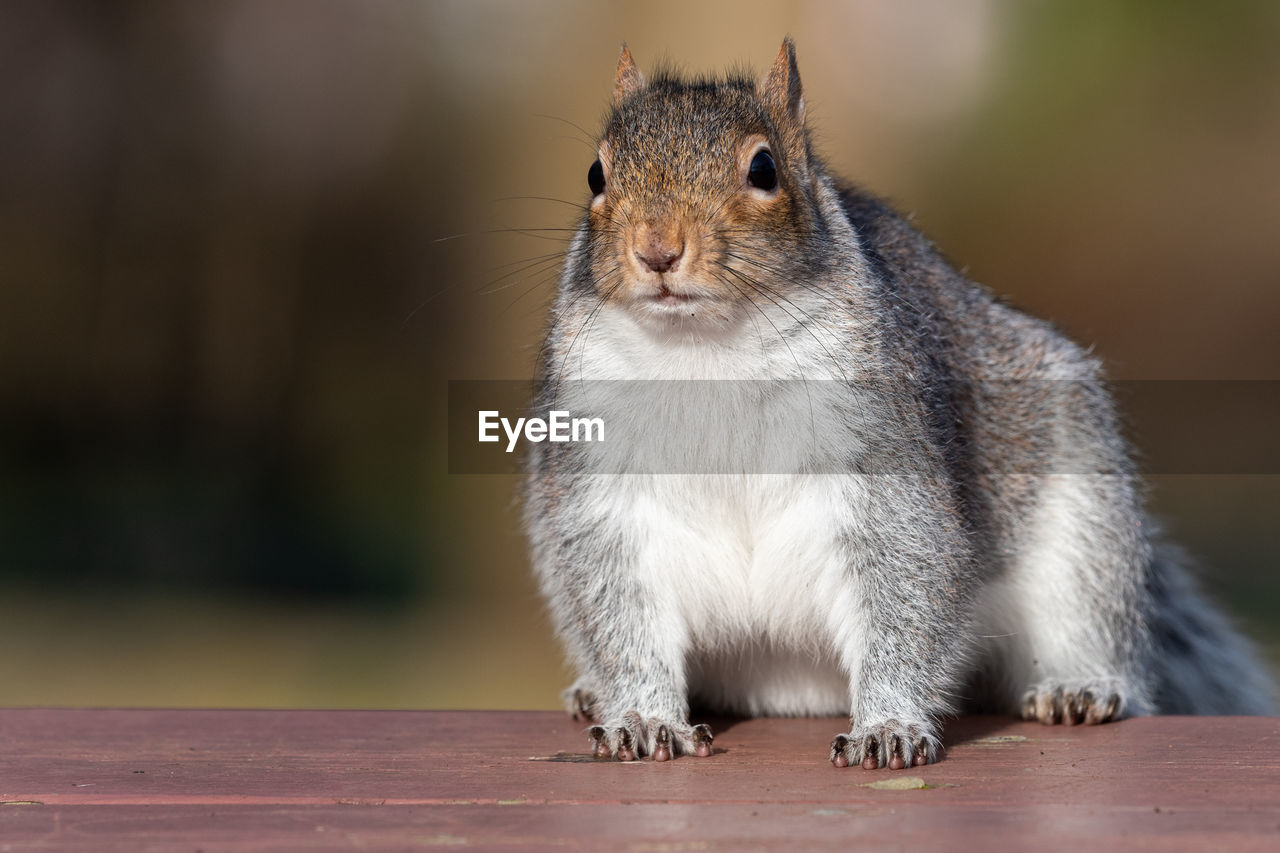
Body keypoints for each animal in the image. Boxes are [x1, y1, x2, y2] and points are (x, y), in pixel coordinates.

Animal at [517, 39, 1269, 768]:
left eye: (763, 169)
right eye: (596, 174)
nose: (657, 249)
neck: (705, 351)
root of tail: (790, 687)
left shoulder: (885, 461)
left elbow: (906, 580)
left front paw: (889, 723)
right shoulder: (603, 492)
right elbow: (620, 612)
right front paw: (644, 716)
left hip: (1082, 531)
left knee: (1091, 624)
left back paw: (1080, 686)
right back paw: (593, 693)